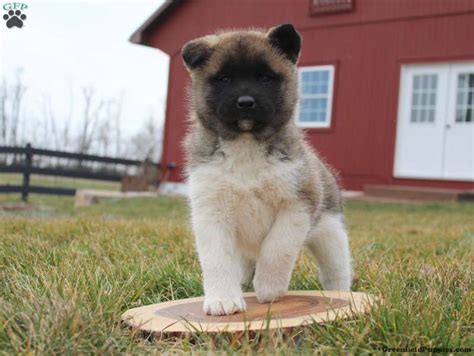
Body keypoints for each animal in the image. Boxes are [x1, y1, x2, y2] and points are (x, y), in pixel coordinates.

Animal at [181, 23, 352, 316]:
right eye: (224, 79)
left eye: (264, 77)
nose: (245, 102)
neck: (246, 145)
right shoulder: (211, 213)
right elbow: (217, 259)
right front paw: (223, 298)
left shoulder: (297, 205)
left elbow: (277, 247)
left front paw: (269, 287)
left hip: (331, 235)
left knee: (336, 270)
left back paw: (341, 295)